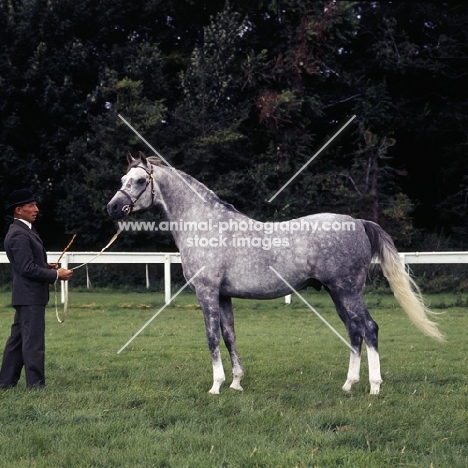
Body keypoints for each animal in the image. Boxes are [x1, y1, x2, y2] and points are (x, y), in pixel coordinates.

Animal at [108, 153, 444, 394]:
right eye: (124, 178)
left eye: (140, 180)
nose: (112, 208)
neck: (205, 225)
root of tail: (358, 222)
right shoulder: (224, 296)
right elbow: (230, 336)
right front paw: (236, 382)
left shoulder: (207, 294)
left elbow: (212, 338)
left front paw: (216, 386)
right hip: (337, 294)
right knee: (354, 331)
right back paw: (349, 384)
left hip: (348, 291)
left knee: (369, 329)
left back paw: (374, 387)